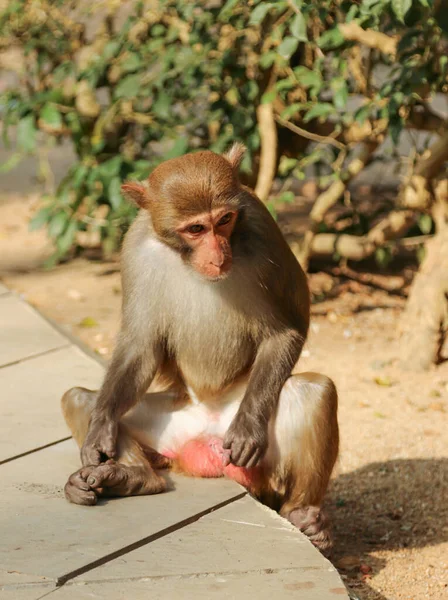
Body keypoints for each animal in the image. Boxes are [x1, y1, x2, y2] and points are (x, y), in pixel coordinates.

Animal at [61, 144, 338, 552]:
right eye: (196, 228)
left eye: (224, 220)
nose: (218, 251)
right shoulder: (136, 249)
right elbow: (140, 346)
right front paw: (101, 430)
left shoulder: (261, 231)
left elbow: (282, 334)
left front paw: (248, 429)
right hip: (173, 426)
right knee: (79, 397)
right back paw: (131, 477)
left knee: (315, 391)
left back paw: (304, 516)